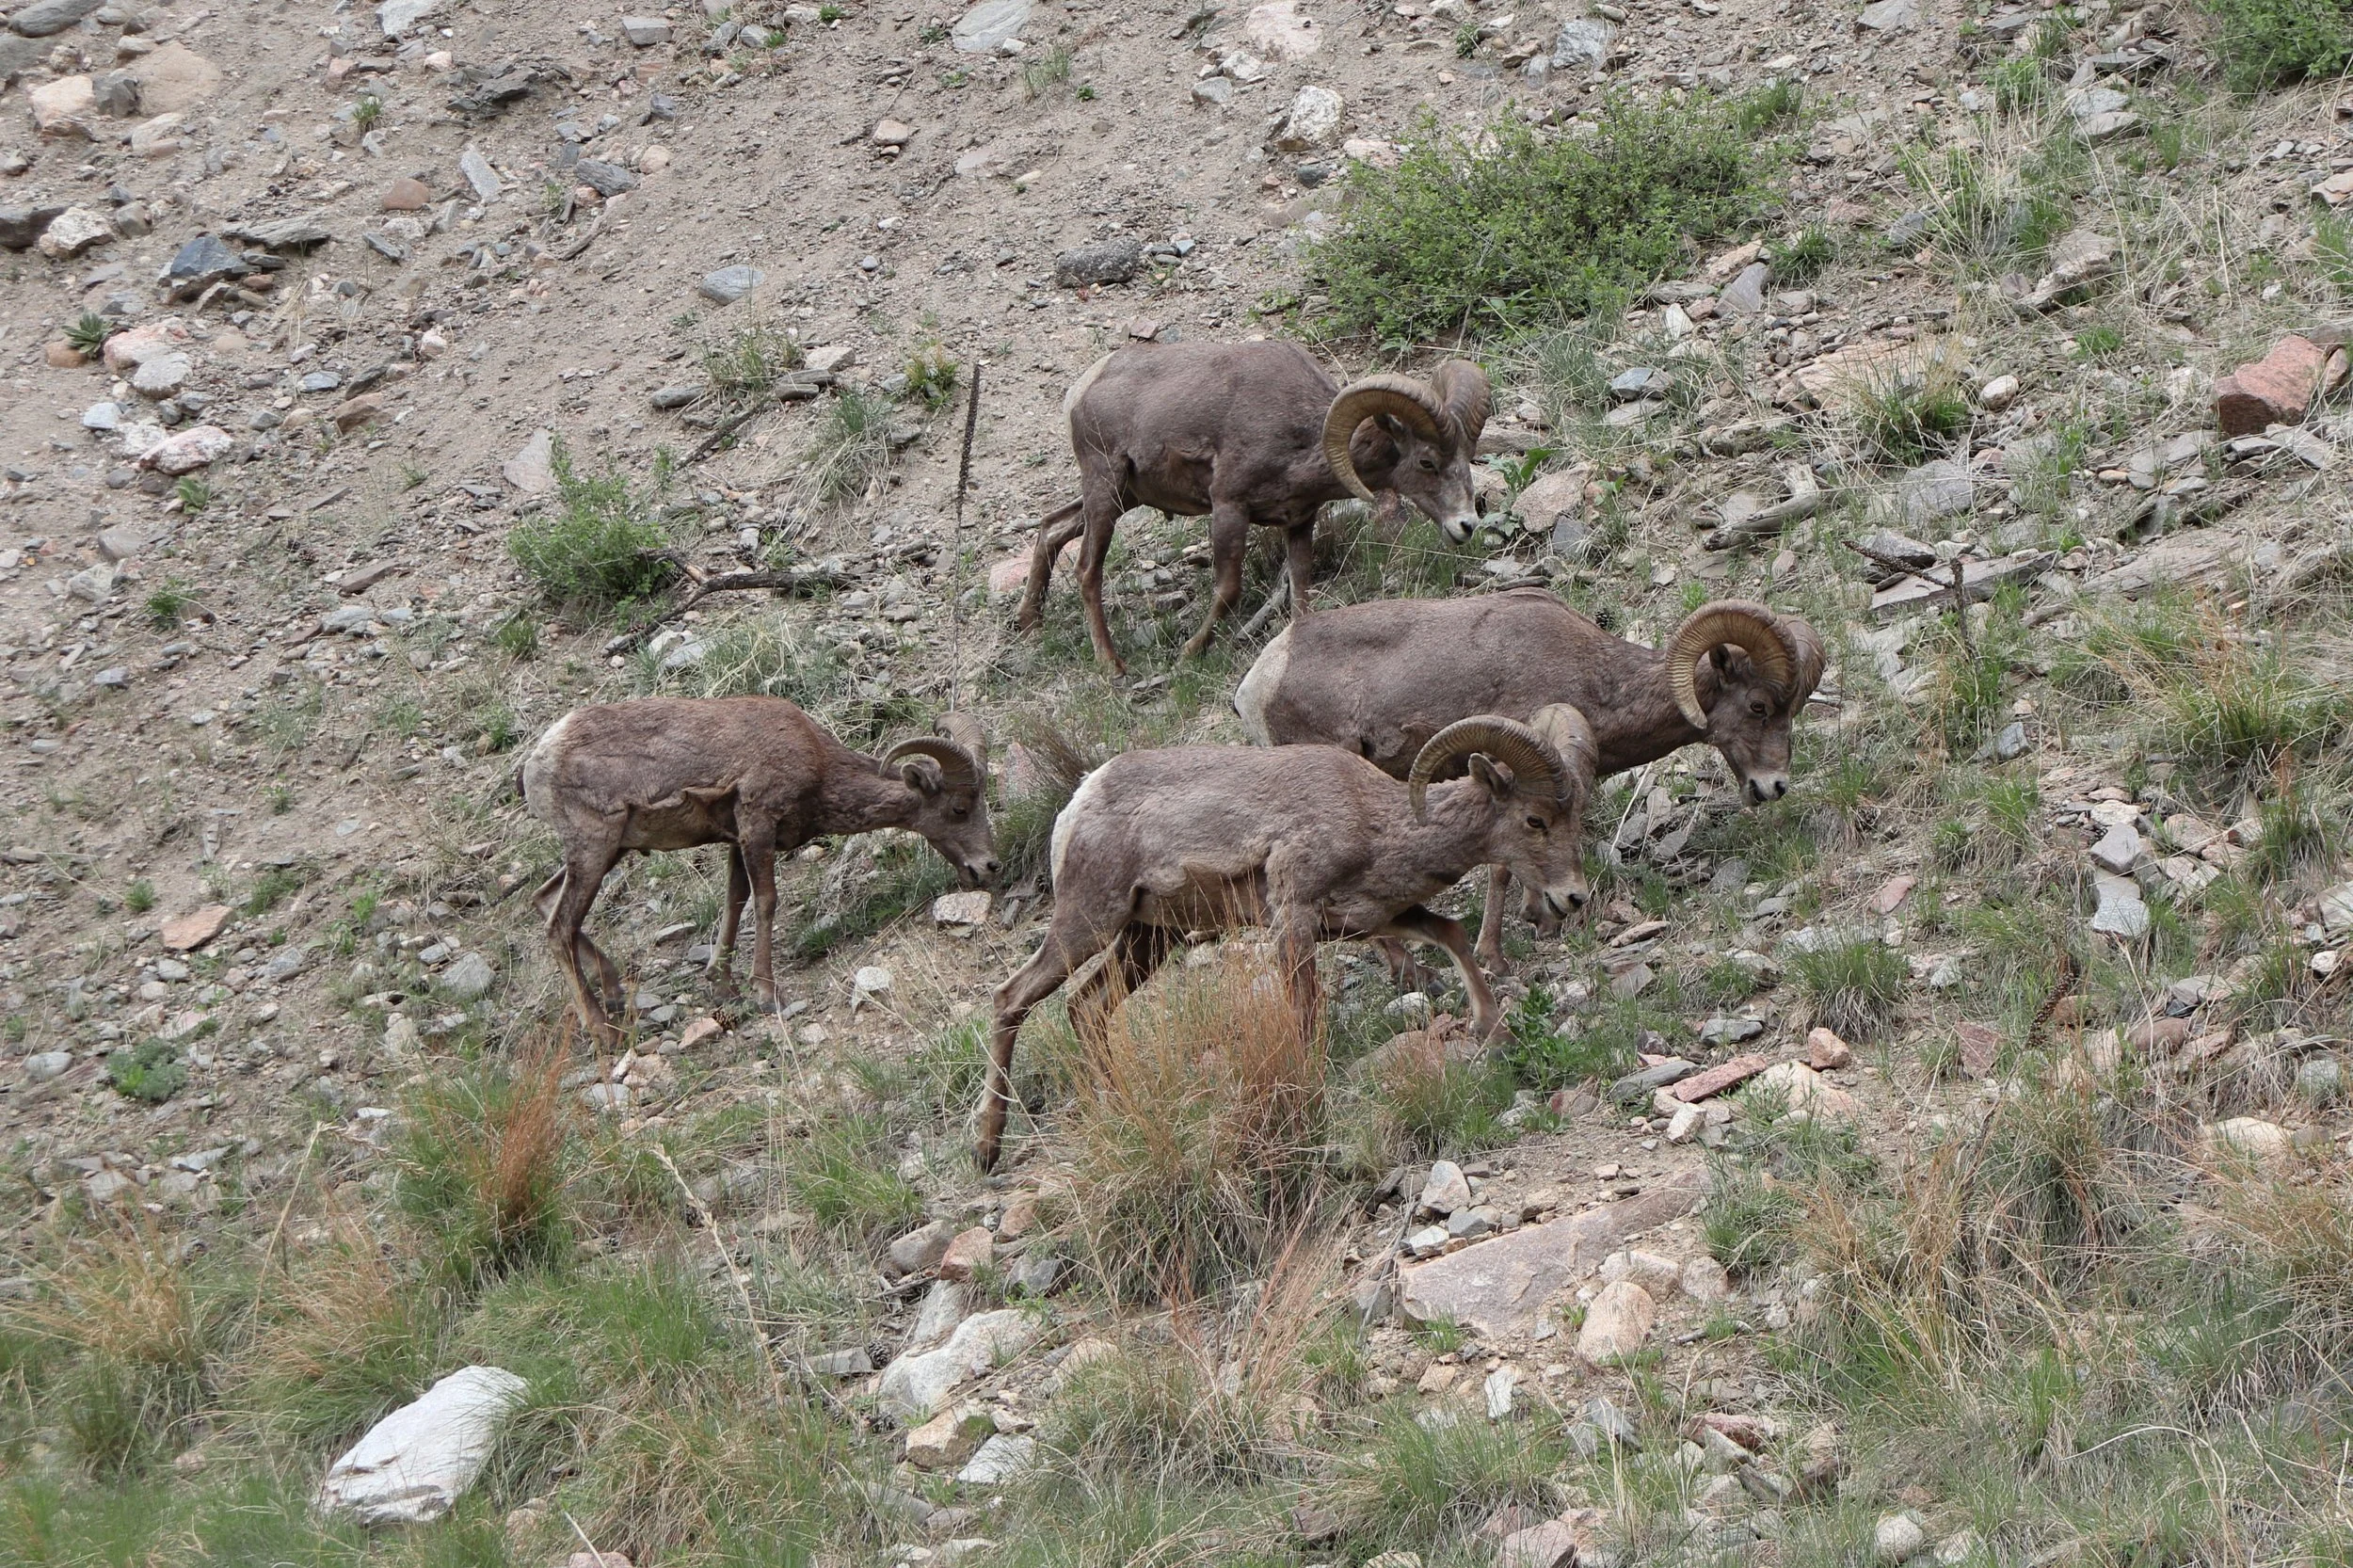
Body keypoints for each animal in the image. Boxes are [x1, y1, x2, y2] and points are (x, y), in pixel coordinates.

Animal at [519, 698, 998, 1041]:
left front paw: (723, 986)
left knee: (543, 899)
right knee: (559, 926)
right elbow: (765, 902)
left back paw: (616, 990)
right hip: (594, 846)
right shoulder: (757, 822)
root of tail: (539, 761)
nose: (988, 866)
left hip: (609, 851)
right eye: (959, 807)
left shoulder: (736, 841)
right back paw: (603, 1030)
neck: (817, 764)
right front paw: (766, 993)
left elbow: (735, 902)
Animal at [975, 712, 1597, 1171]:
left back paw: (1121, 1105)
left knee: (1087, 1009)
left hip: (1148, 941)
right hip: (1088, 922)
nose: (1574, 898)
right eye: (1535, 820)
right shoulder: (1294, 922)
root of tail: (1076, 807)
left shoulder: (1373, 920)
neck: (1380, 822)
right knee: (1012, 999)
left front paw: (1495, 1032)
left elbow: (1451, 933)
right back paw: (987, 1148)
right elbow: (1305, 1012)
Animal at [1012, 340, 1492, 673]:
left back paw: (1029, 622)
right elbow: (1228, 589)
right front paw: (1189, 653)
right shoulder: (1229, 508)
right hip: (1105, 490)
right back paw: (1112, 667)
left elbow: (1301, 590)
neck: (1298, 439)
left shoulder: (1299, 523)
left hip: (1123, 497)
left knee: (1051, 527)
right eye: (1427, 462)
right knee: (1087, 571)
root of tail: (1083, 389)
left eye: (1469, 456)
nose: (1467, 525)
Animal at [1234, 592, 1825, 972]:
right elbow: (1502, 866)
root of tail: (1258, 682)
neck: (1594, 677)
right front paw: (1503, 952)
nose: (1774, 786)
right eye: (1759, 706)